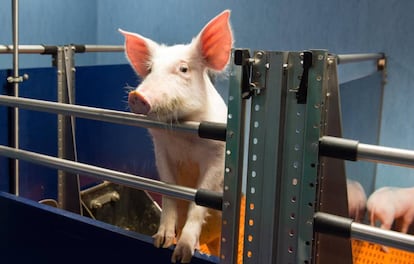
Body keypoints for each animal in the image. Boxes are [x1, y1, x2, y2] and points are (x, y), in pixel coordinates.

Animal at [119, 9, 233, 262]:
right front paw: (161, 242)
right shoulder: (162, 151)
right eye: (150, 69)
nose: (137, 96)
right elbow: (169, 193)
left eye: (184, 69)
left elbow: (198, 203)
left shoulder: (217, 156)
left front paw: (182, 255)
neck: (183, 135)